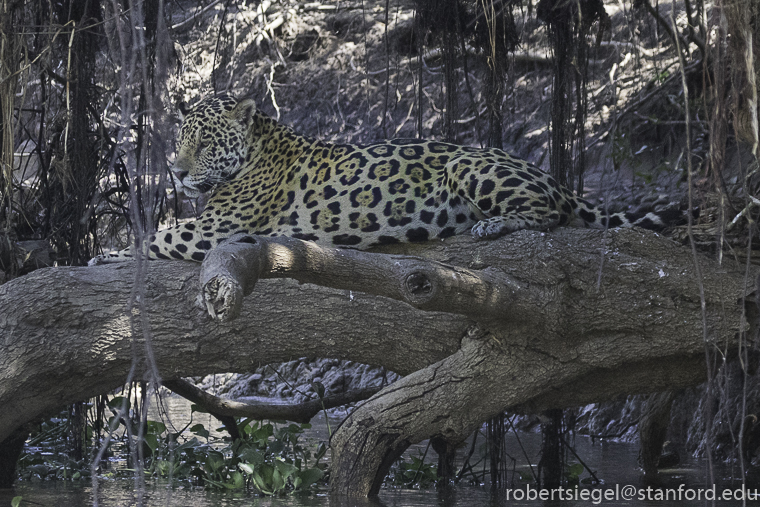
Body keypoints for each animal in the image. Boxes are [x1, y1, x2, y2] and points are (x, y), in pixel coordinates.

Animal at [90, 94, 679, 264]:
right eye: (179, 141)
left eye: (206, 143)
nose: (177, 171)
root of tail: (554, 177)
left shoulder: (219, 229)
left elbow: (158, 236)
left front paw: (109, 254)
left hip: (471, 166)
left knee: (549, 214)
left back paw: (492, 226)